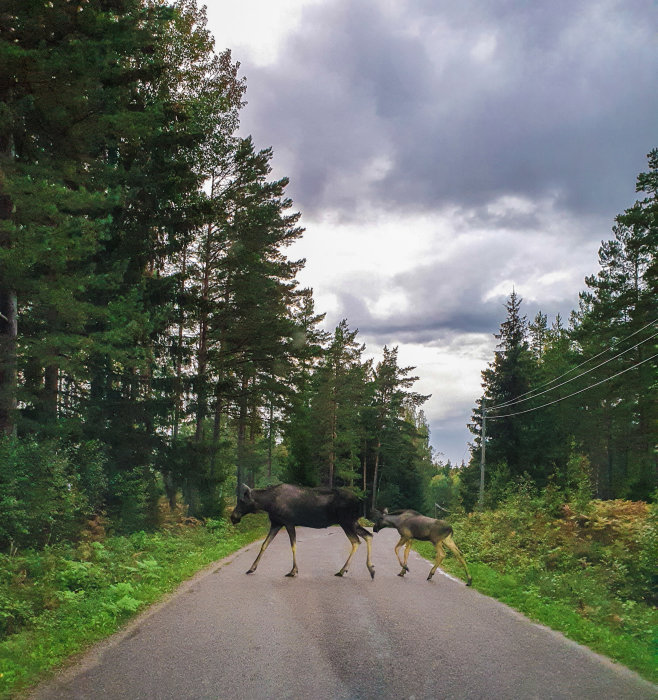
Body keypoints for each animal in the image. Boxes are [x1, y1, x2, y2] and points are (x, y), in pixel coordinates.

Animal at [231, 482, 374, 580]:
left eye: (242, 500)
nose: (233, 517)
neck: (268, 503)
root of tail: (359, 501)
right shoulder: (276, 523)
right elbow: (264, 544)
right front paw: (251, 568)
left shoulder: (289, 523)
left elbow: (293, 546)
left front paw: (293, 570)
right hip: (352, 522)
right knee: (368, 535)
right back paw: (370, 569)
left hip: (346, 522)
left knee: (356, 541)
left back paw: (343, 570)